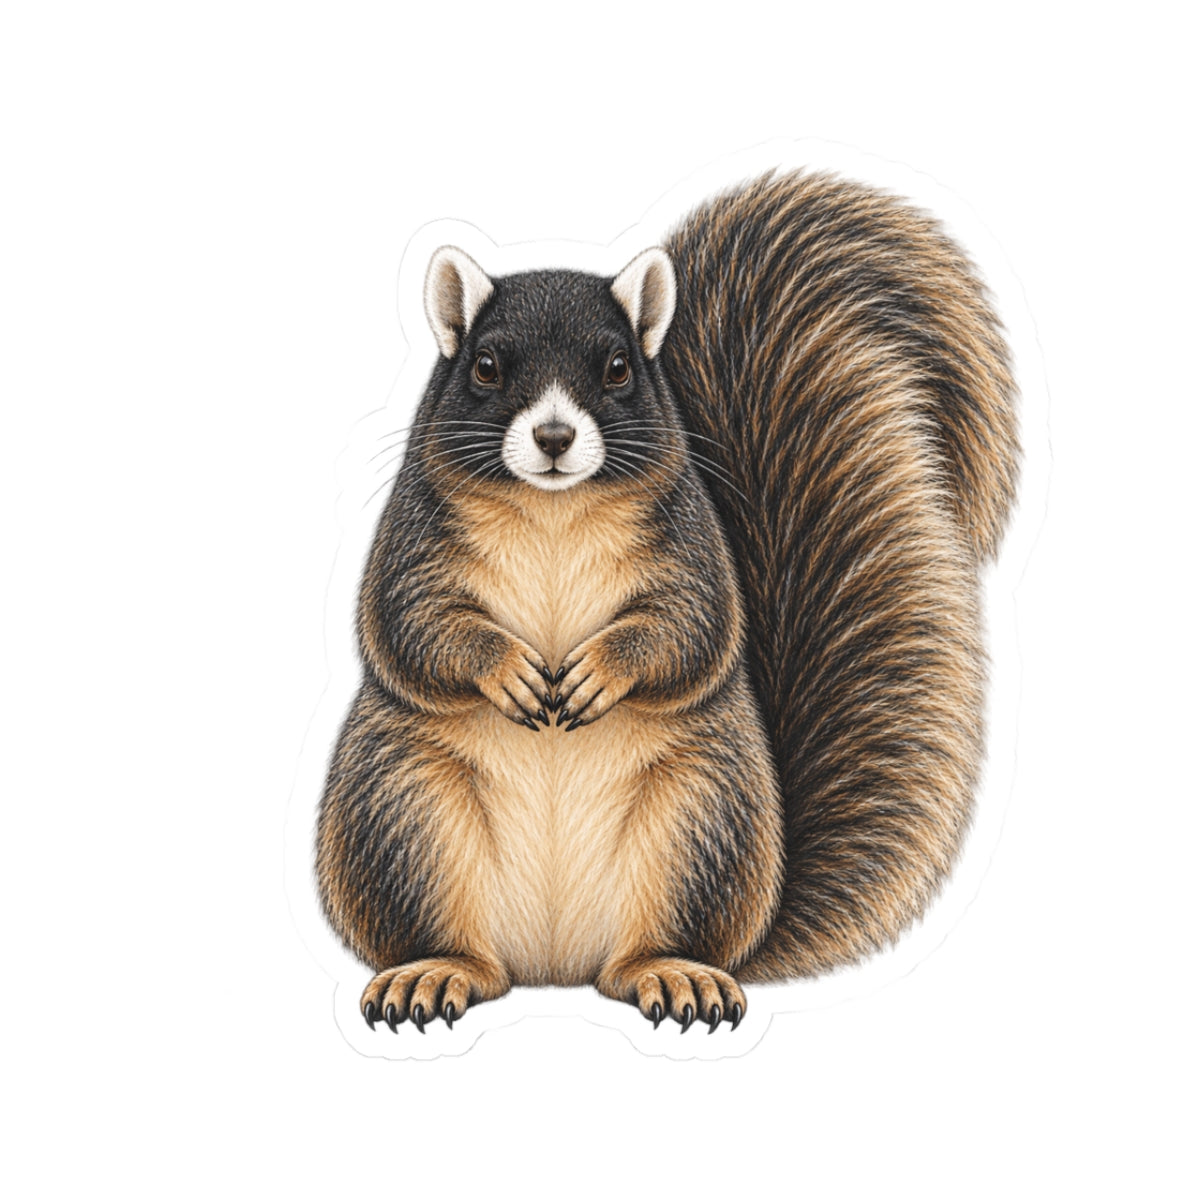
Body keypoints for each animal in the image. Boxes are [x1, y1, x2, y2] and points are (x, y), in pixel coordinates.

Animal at [316, 170, 1019, 1035]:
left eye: (619, 367)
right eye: (484, 365)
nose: (554, 438)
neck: (553, 516)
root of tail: (554, 968)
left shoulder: (693, 546)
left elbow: (691, 628)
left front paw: (598, 671)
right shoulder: (412, 543)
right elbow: (412, 624)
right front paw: (509, 668)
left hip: (702, 821)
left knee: (650, 948)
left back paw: (674, 972)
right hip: (401, 815)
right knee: (456, 938)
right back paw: (436, 969)